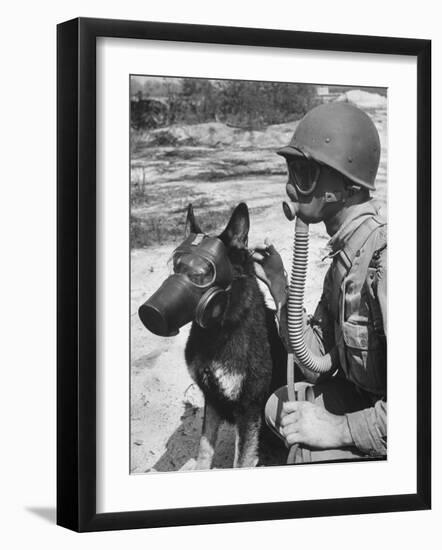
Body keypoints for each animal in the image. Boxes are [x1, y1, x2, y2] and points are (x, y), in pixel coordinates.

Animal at [184, 203, 284, 470]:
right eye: (177, 266)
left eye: (205, 270)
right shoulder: (211, 399)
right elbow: (204, 447)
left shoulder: (249, 407)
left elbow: (242, 459)